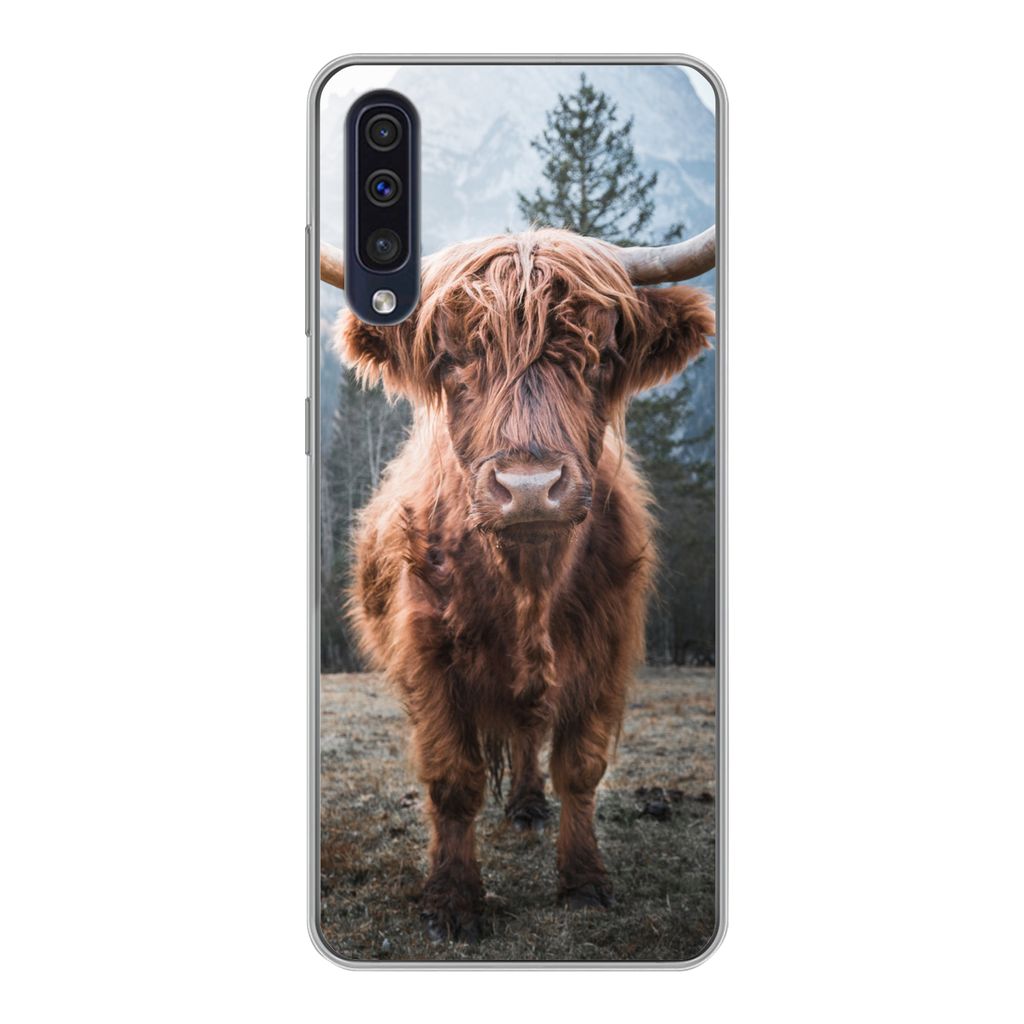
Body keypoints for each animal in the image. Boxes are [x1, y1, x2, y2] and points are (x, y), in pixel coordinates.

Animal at [331, 226, 716, 941]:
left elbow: (581, 769)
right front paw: (453, 900)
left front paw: (584, 881)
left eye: (600, 353)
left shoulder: (605, 653)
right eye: (452, 356)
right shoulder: (428, 659)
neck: (528, 583)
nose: (531, 488)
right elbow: (453, 778)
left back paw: (530, 805)